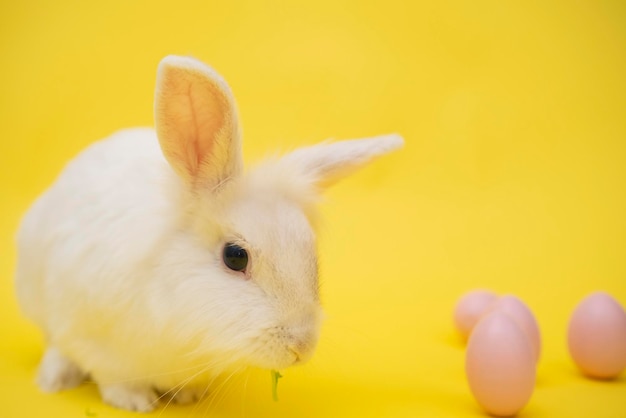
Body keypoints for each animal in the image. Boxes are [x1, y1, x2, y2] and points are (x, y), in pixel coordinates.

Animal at [15, 55, 404, 412]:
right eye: (235, 256)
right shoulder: (93, 338)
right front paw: (135, 402)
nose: (302, 346)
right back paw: (54, 379)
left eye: (312, 254)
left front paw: (189, 395)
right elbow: (111, 376)